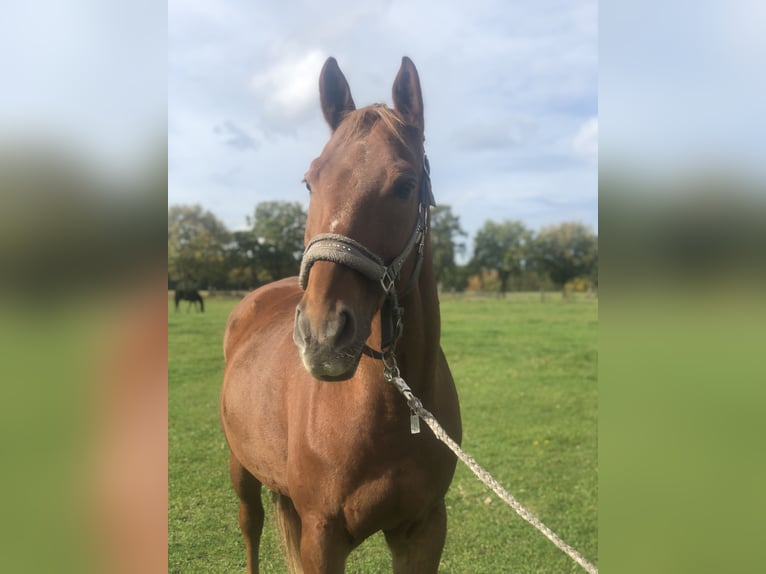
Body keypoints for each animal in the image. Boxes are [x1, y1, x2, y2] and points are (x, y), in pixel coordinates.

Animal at [219, 55, 464, 574]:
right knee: (250, 526)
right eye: (311, 180)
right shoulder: (322, 537)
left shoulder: (424, 529)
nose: (322, 335)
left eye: (405, 185)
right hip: (240, 466)